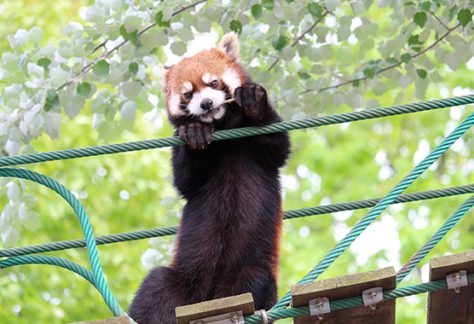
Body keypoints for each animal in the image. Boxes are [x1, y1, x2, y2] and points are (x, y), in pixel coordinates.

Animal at [130, 33, 290, 324]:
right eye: (188, 93)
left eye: (213, 82)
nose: (206, 103)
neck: (222, 127)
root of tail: (208, 298)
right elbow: (185, 181)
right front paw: (195, 131)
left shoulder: (265, 151)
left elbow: (277, 146)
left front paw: (253, 101)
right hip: (178, 280)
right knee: (155, 287)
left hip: (251, 272)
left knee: (254, 283)